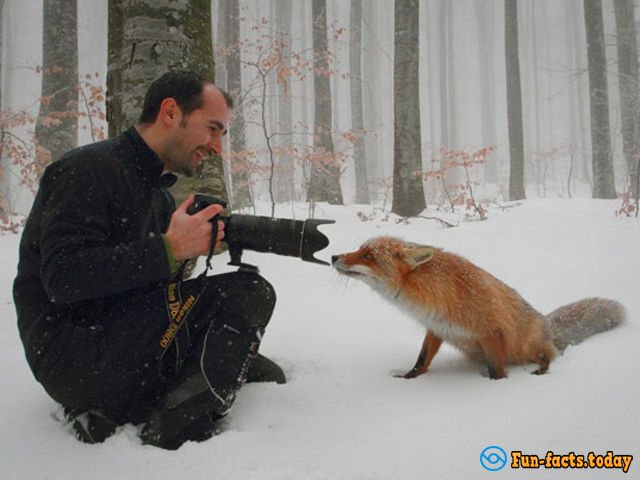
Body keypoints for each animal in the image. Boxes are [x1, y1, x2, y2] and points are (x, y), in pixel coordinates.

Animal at [332, 236, 628, 378]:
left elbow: (497, 372)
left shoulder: (491, 333)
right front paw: (408, 378)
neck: (435, 293)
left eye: (368, 256)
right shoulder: (436, 328)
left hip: (529, 346)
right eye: (359, 249)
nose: (334, 256)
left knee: (550, 356)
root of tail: (547, 322)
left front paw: (495, 389)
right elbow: (421, 361)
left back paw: (541, 370)